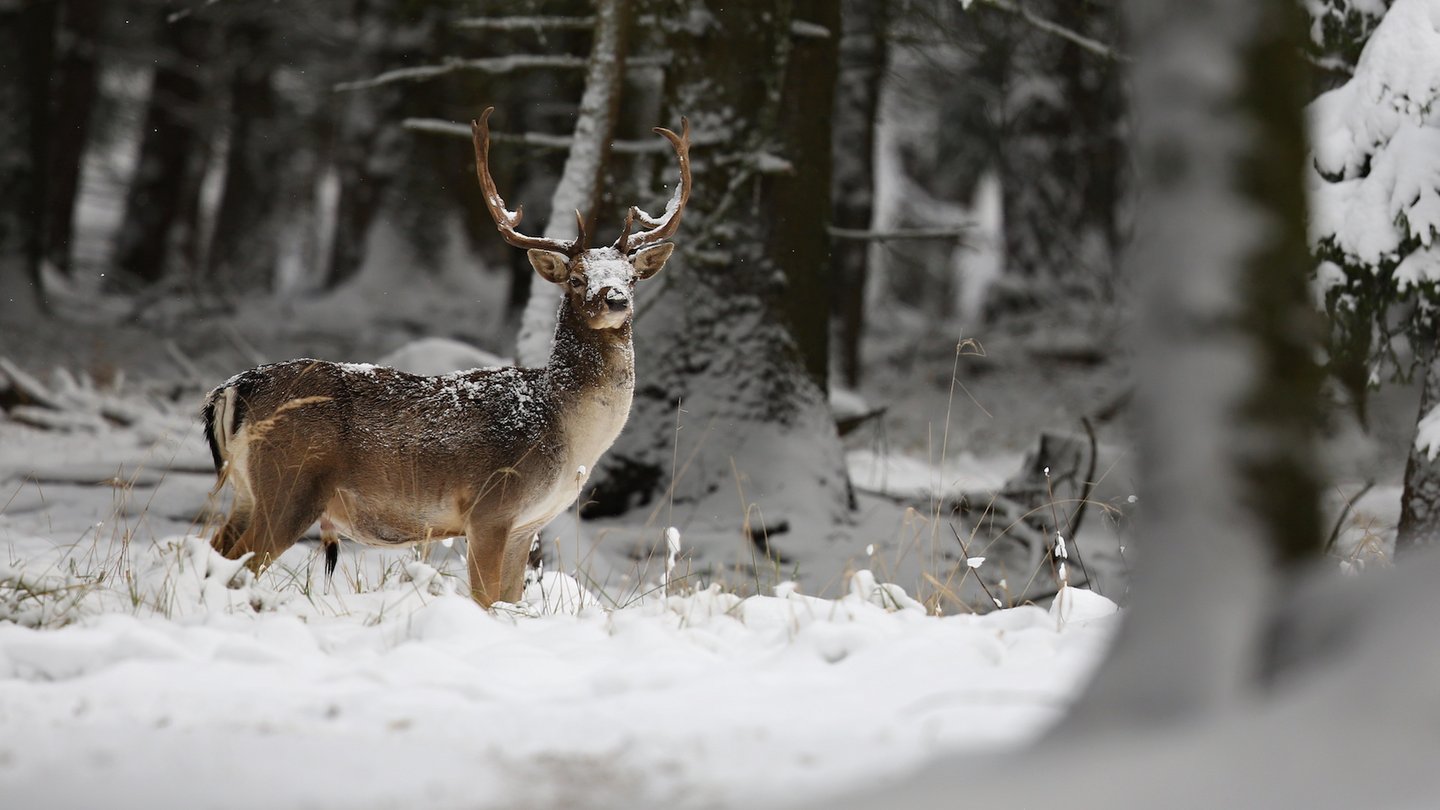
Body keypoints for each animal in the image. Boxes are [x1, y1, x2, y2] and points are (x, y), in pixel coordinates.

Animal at [203, 107, 691, 602]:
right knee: (240, 565)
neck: (564, 430)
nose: (615, 299)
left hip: (248, 492)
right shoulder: (490, 508)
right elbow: (485, 601)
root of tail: (234, 388)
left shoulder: (525, 526)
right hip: (290, 483)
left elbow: (510, 601)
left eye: (631, 277)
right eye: (576, 278)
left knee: (214, 553)